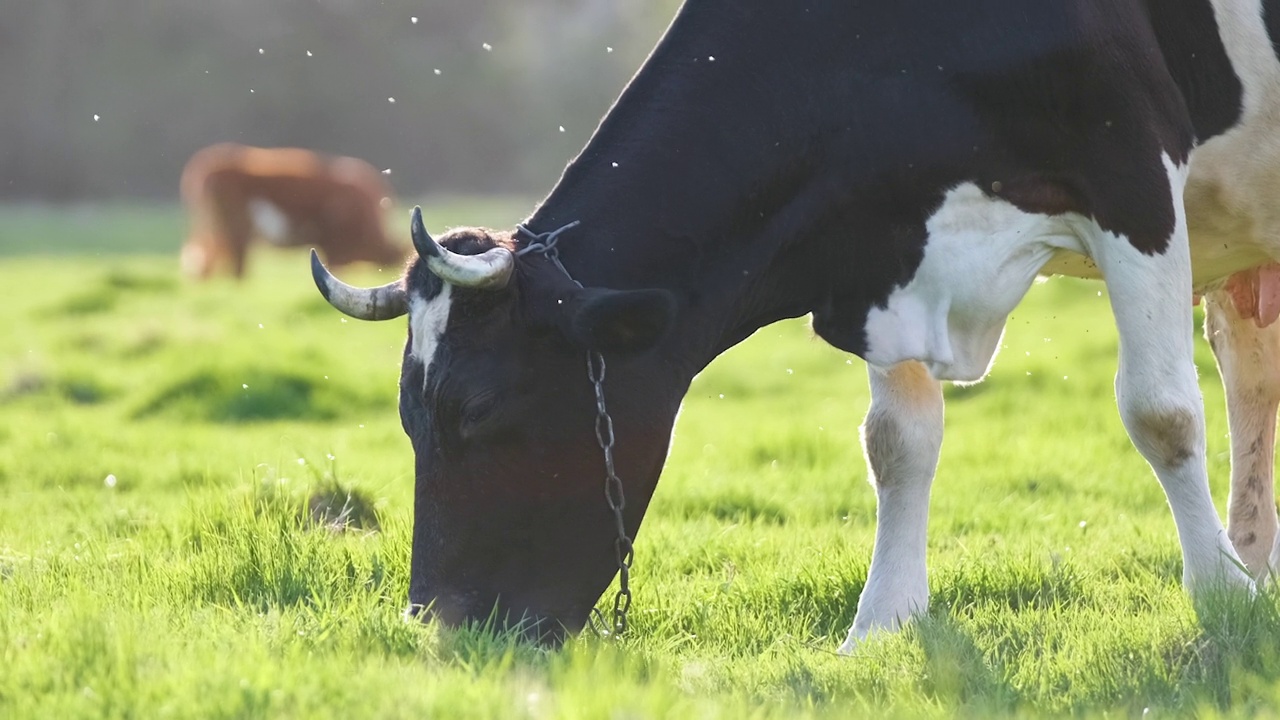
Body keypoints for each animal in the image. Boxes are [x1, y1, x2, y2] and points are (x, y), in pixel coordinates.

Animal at [312, 0, 1280, 648]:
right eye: (408, 419)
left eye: (478, 413)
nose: (440, 625)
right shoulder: (880, 246)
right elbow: (897, 441)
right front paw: (882, 624)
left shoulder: (1131, 165)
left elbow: (1160, 411)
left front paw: (1218, 598)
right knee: (1252, 371)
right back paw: (1259, 562)